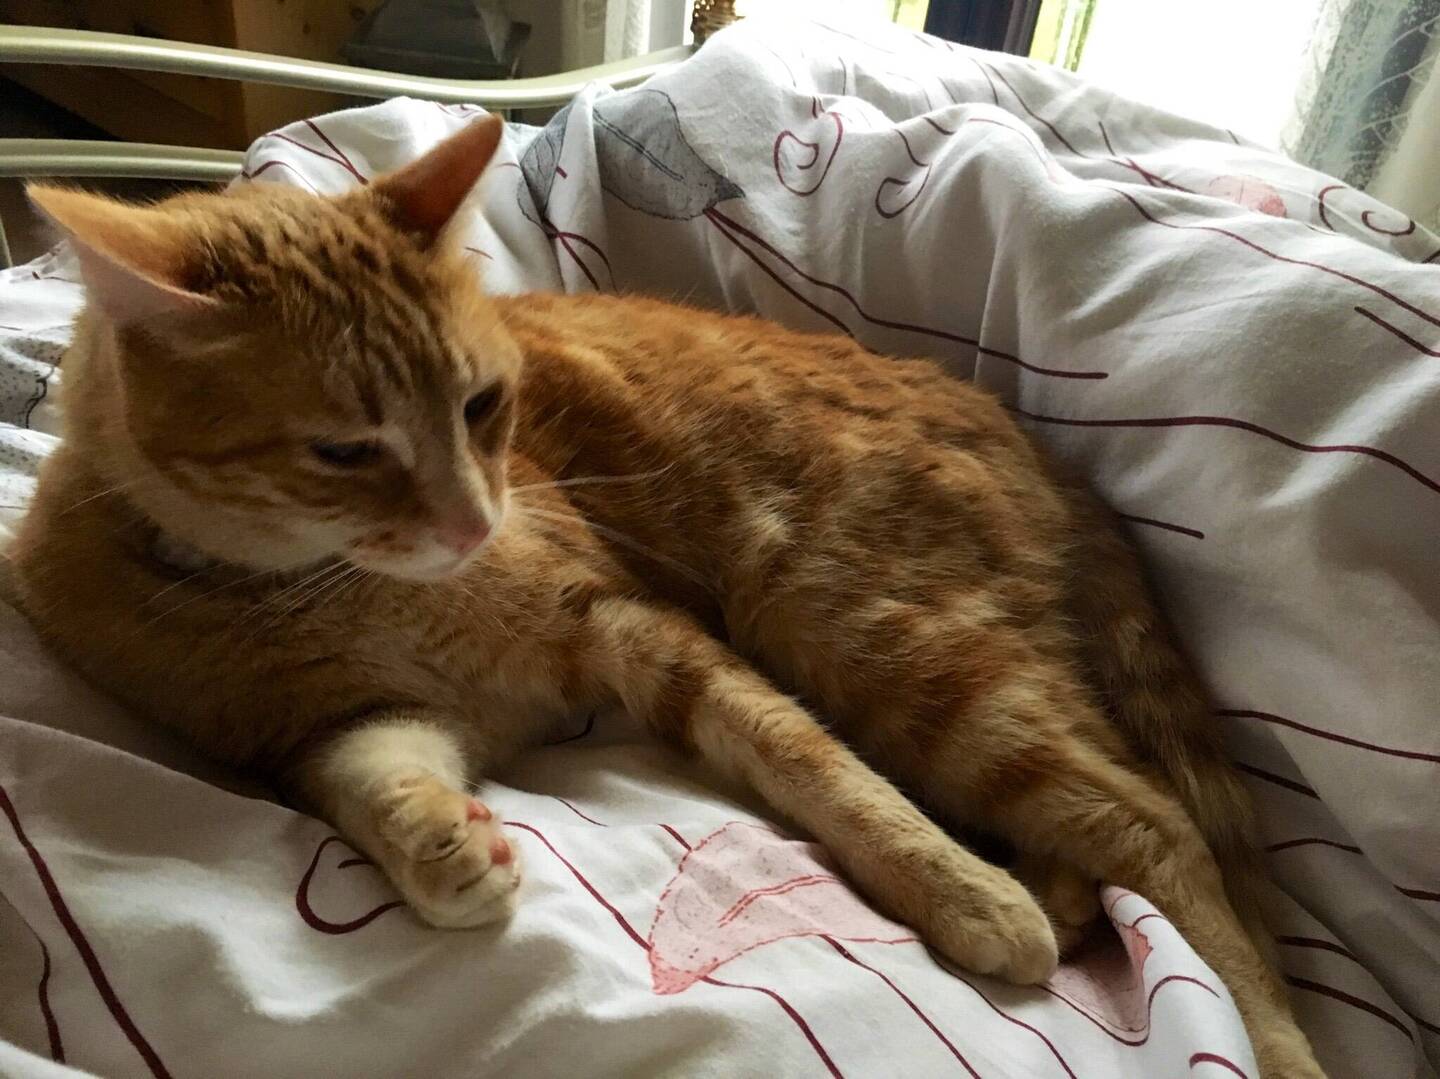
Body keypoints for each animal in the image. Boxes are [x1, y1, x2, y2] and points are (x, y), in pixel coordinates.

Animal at [9, 117, 1323, 1077]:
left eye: (484, 404)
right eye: (345, 450)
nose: (475, 521)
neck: (318, 586)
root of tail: (1033, 434)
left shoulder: (629, 627)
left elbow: (815, 766)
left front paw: (964, 893)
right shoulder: (332, 727)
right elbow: (375, 778)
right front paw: (448, 849)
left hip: (867, 630)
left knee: (1154, 826)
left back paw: (1256, 1030)